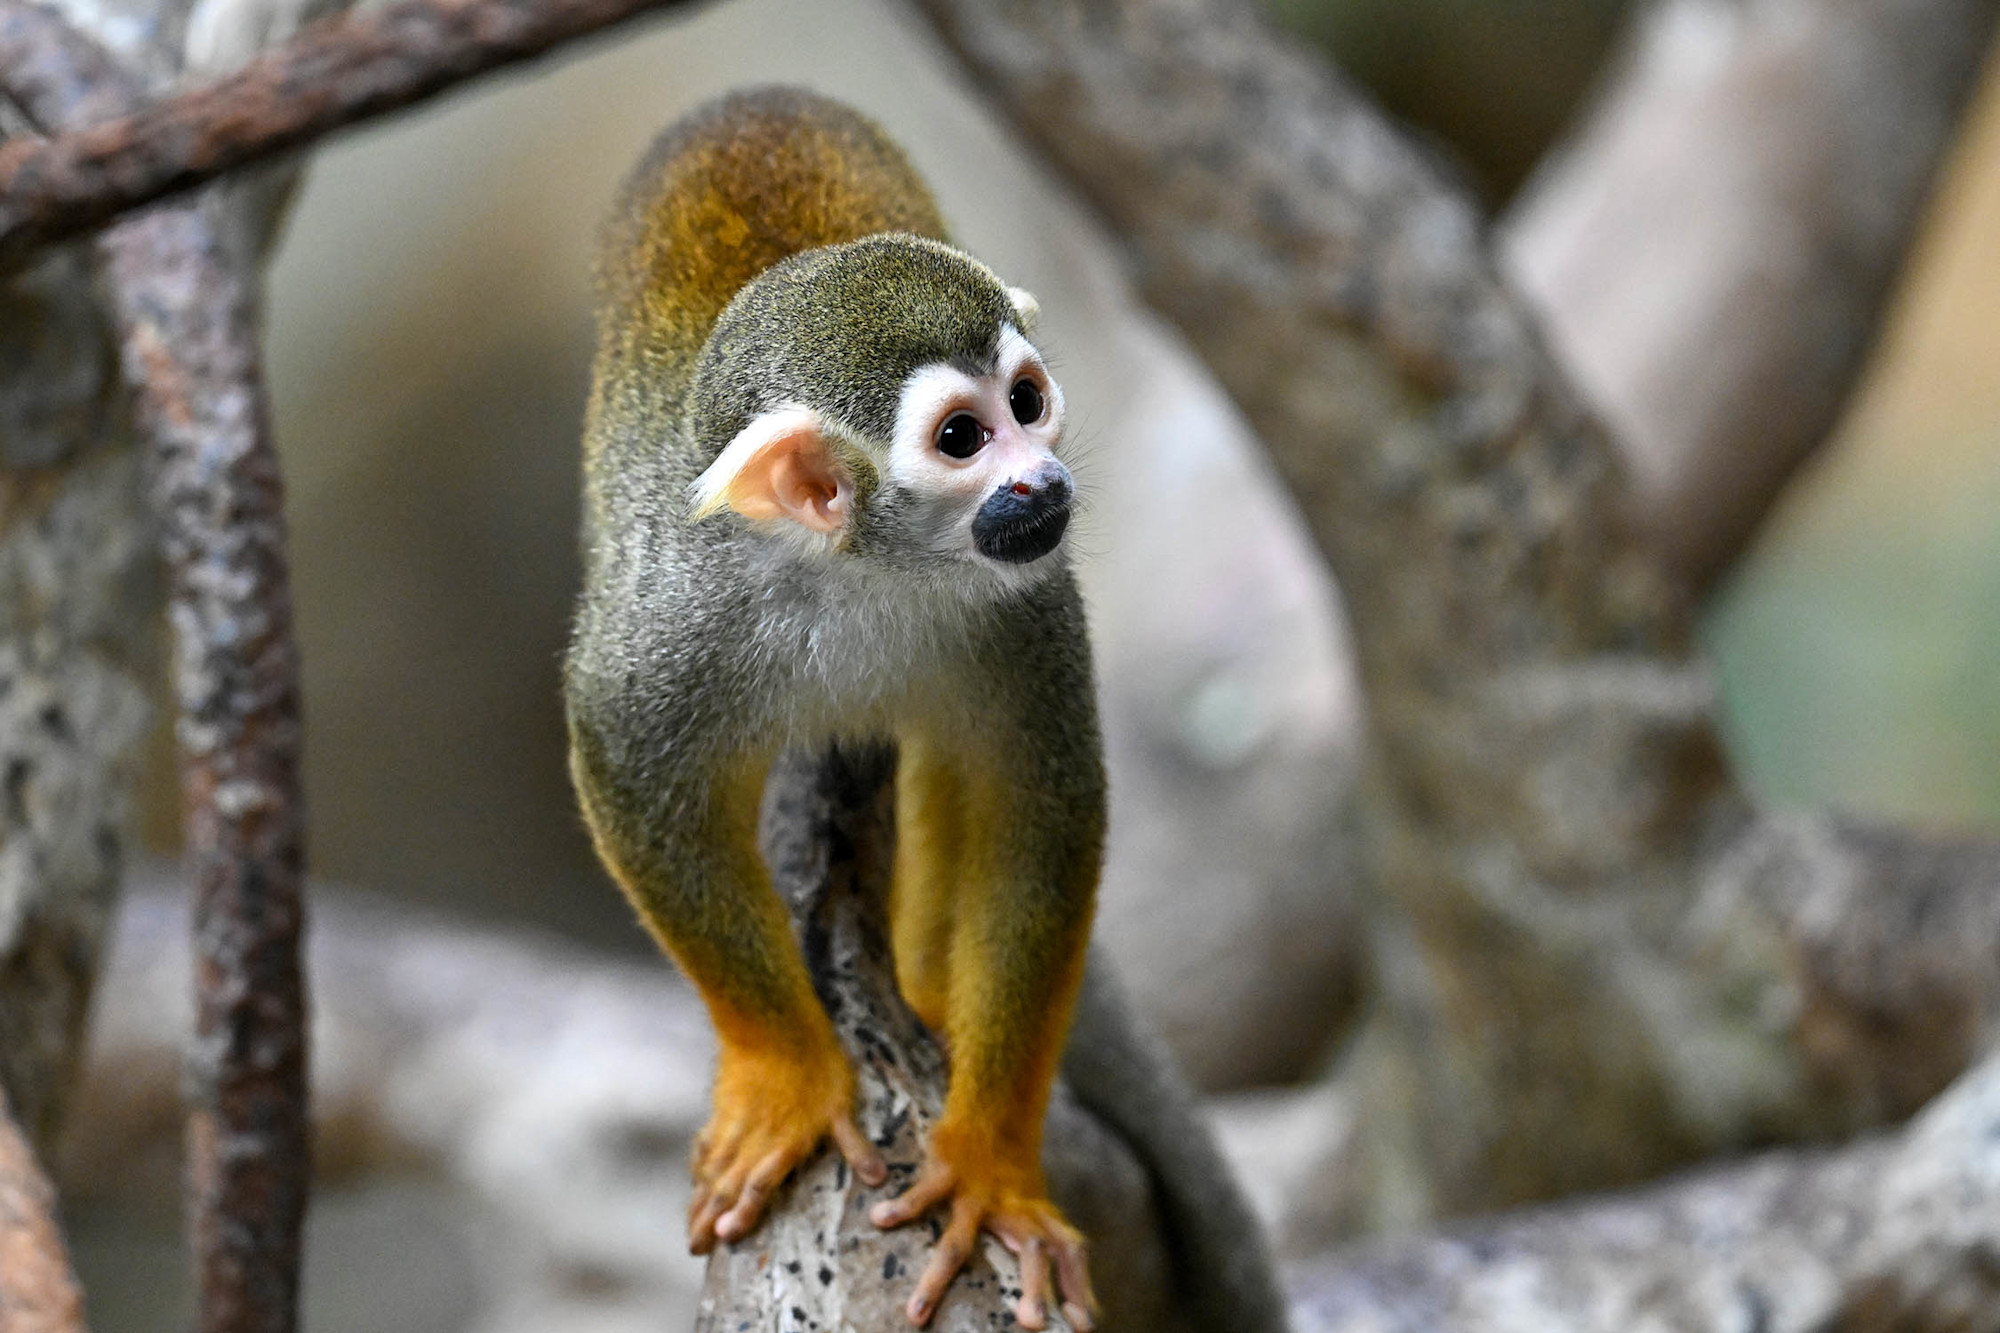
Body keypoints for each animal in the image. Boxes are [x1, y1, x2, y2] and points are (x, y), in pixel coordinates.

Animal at [564, 87, 1106, 1329]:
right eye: (962, 439)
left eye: (1027, 403)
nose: (1043, 480)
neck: (860, 567)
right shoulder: (680, 612)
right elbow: (626, 767)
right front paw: (787, 1077)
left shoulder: (1027, 601)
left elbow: (1037, 817)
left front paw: (991, 1160)